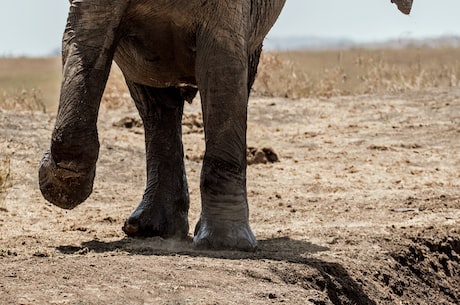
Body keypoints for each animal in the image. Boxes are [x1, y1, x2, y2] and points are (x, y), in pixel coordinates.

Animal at [39, 1, 286, 251]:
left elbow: (222, 68)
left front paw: (226, 244)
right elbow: (87, 37)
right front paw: (55, 184)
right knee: (157, 104)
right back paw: (148, 229)